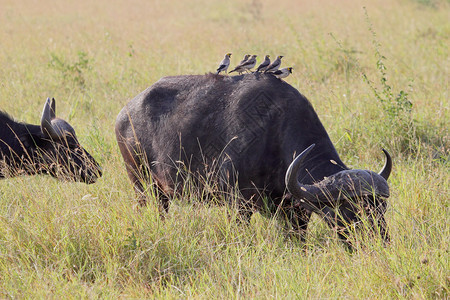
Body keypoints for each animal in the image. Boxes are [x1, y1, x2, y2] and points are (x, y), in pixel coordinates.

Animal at [115, 73, 390, 244]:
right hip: (142, 185)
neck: (275, 132)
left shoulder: (295, 214)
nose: (379, 242)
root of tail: (124, 114)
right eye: (347, 211)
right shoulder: (238, 204)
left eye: (381, 209)